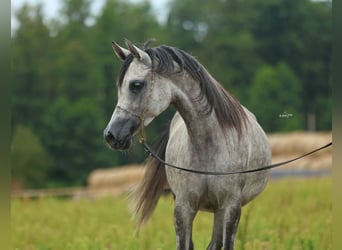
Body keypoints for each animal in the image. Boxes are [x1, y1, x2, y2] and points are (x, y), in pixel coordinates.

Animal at [103, 40, 272, 249]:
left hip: (220, 211)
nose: (111, 135)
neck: (208, 146)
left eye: (136, 85)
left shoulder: (231, 208)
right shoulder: (183, 207)